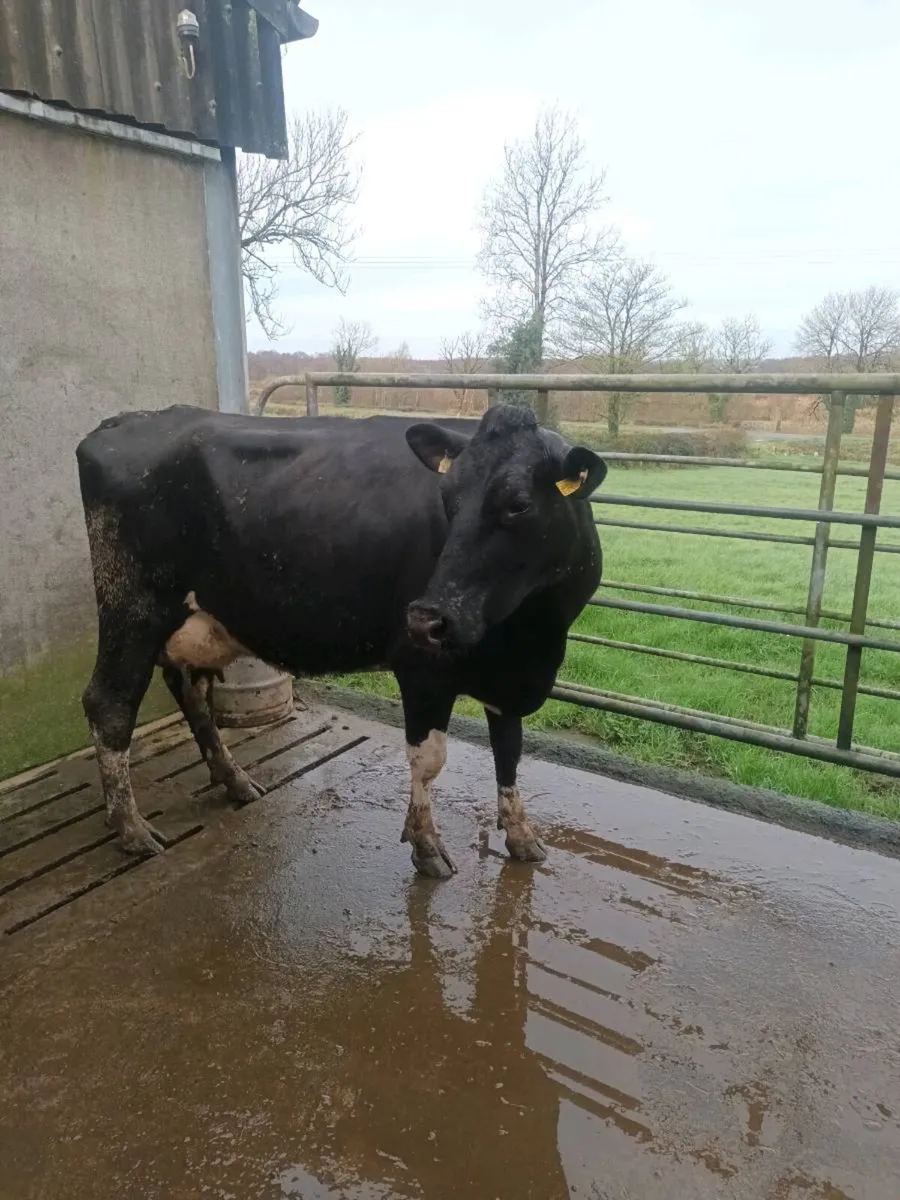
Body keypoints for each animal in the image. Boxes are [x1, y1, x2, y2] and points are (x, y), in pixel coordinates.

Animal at [76, 403, 607, 878]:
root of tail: (124, 420)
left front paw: (521, 836)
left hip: (196, 620)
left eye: (518, 504)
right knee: (110, 703)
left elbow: (510, 752)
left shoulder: (511, 675)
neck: (531, 635)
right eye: (448, 498)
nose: (427, 618)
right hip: (132, 606)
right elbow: (428, 760)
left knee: (192, 692)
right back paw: (130, 827)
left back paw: (235, 781)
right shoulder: (421, 667)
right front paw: (426, 846)